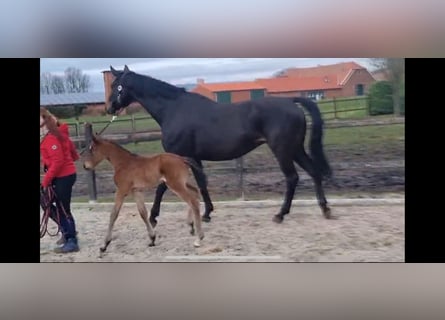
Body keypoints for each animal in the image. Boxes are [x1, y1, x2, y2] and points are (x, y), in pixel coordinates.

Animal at [106, 65, 330, 225]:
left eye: (116, 85)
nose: (109, 108)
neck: (174, 109)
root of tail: (291, 102)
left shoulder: (178, 156)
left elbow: (163, 186)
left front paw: (153, 216)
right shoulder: (194, 158)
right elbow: (202, 183)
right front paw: (207, 213)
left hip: (283, 150)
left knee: (292, 178)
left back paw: (280, 214)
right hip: (296, 149)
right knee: (314, 172)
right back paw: (325, 209)